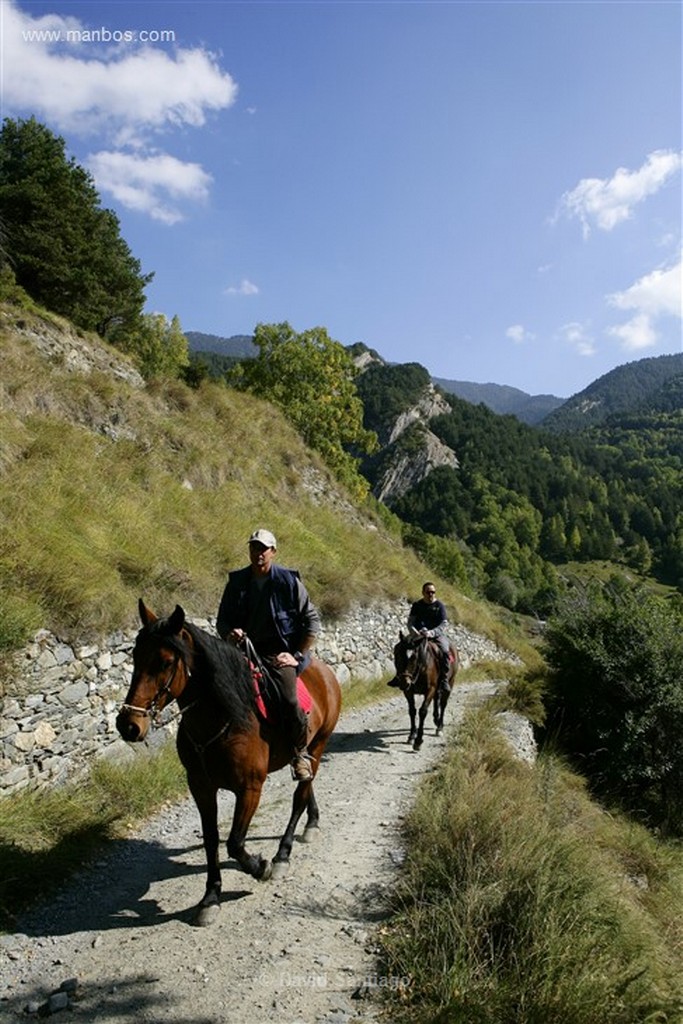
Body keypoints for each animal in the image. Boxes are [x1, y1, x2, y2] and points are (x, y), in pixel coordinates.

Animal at [117, 598, 344, 929]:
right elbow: (212, 840)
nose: (129, 726)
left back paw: (282, 855)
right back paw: (312, 822)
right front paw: (210, 897)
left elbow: (235, 842)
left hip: (319, 743)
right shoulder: (201, 787)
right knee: (306, 784)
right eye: (135, 656)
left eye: (165, 662)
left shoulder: (249, 788)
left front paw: (261, 867)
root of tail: (324, 671)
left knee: (299, 797)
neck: (223, 717)